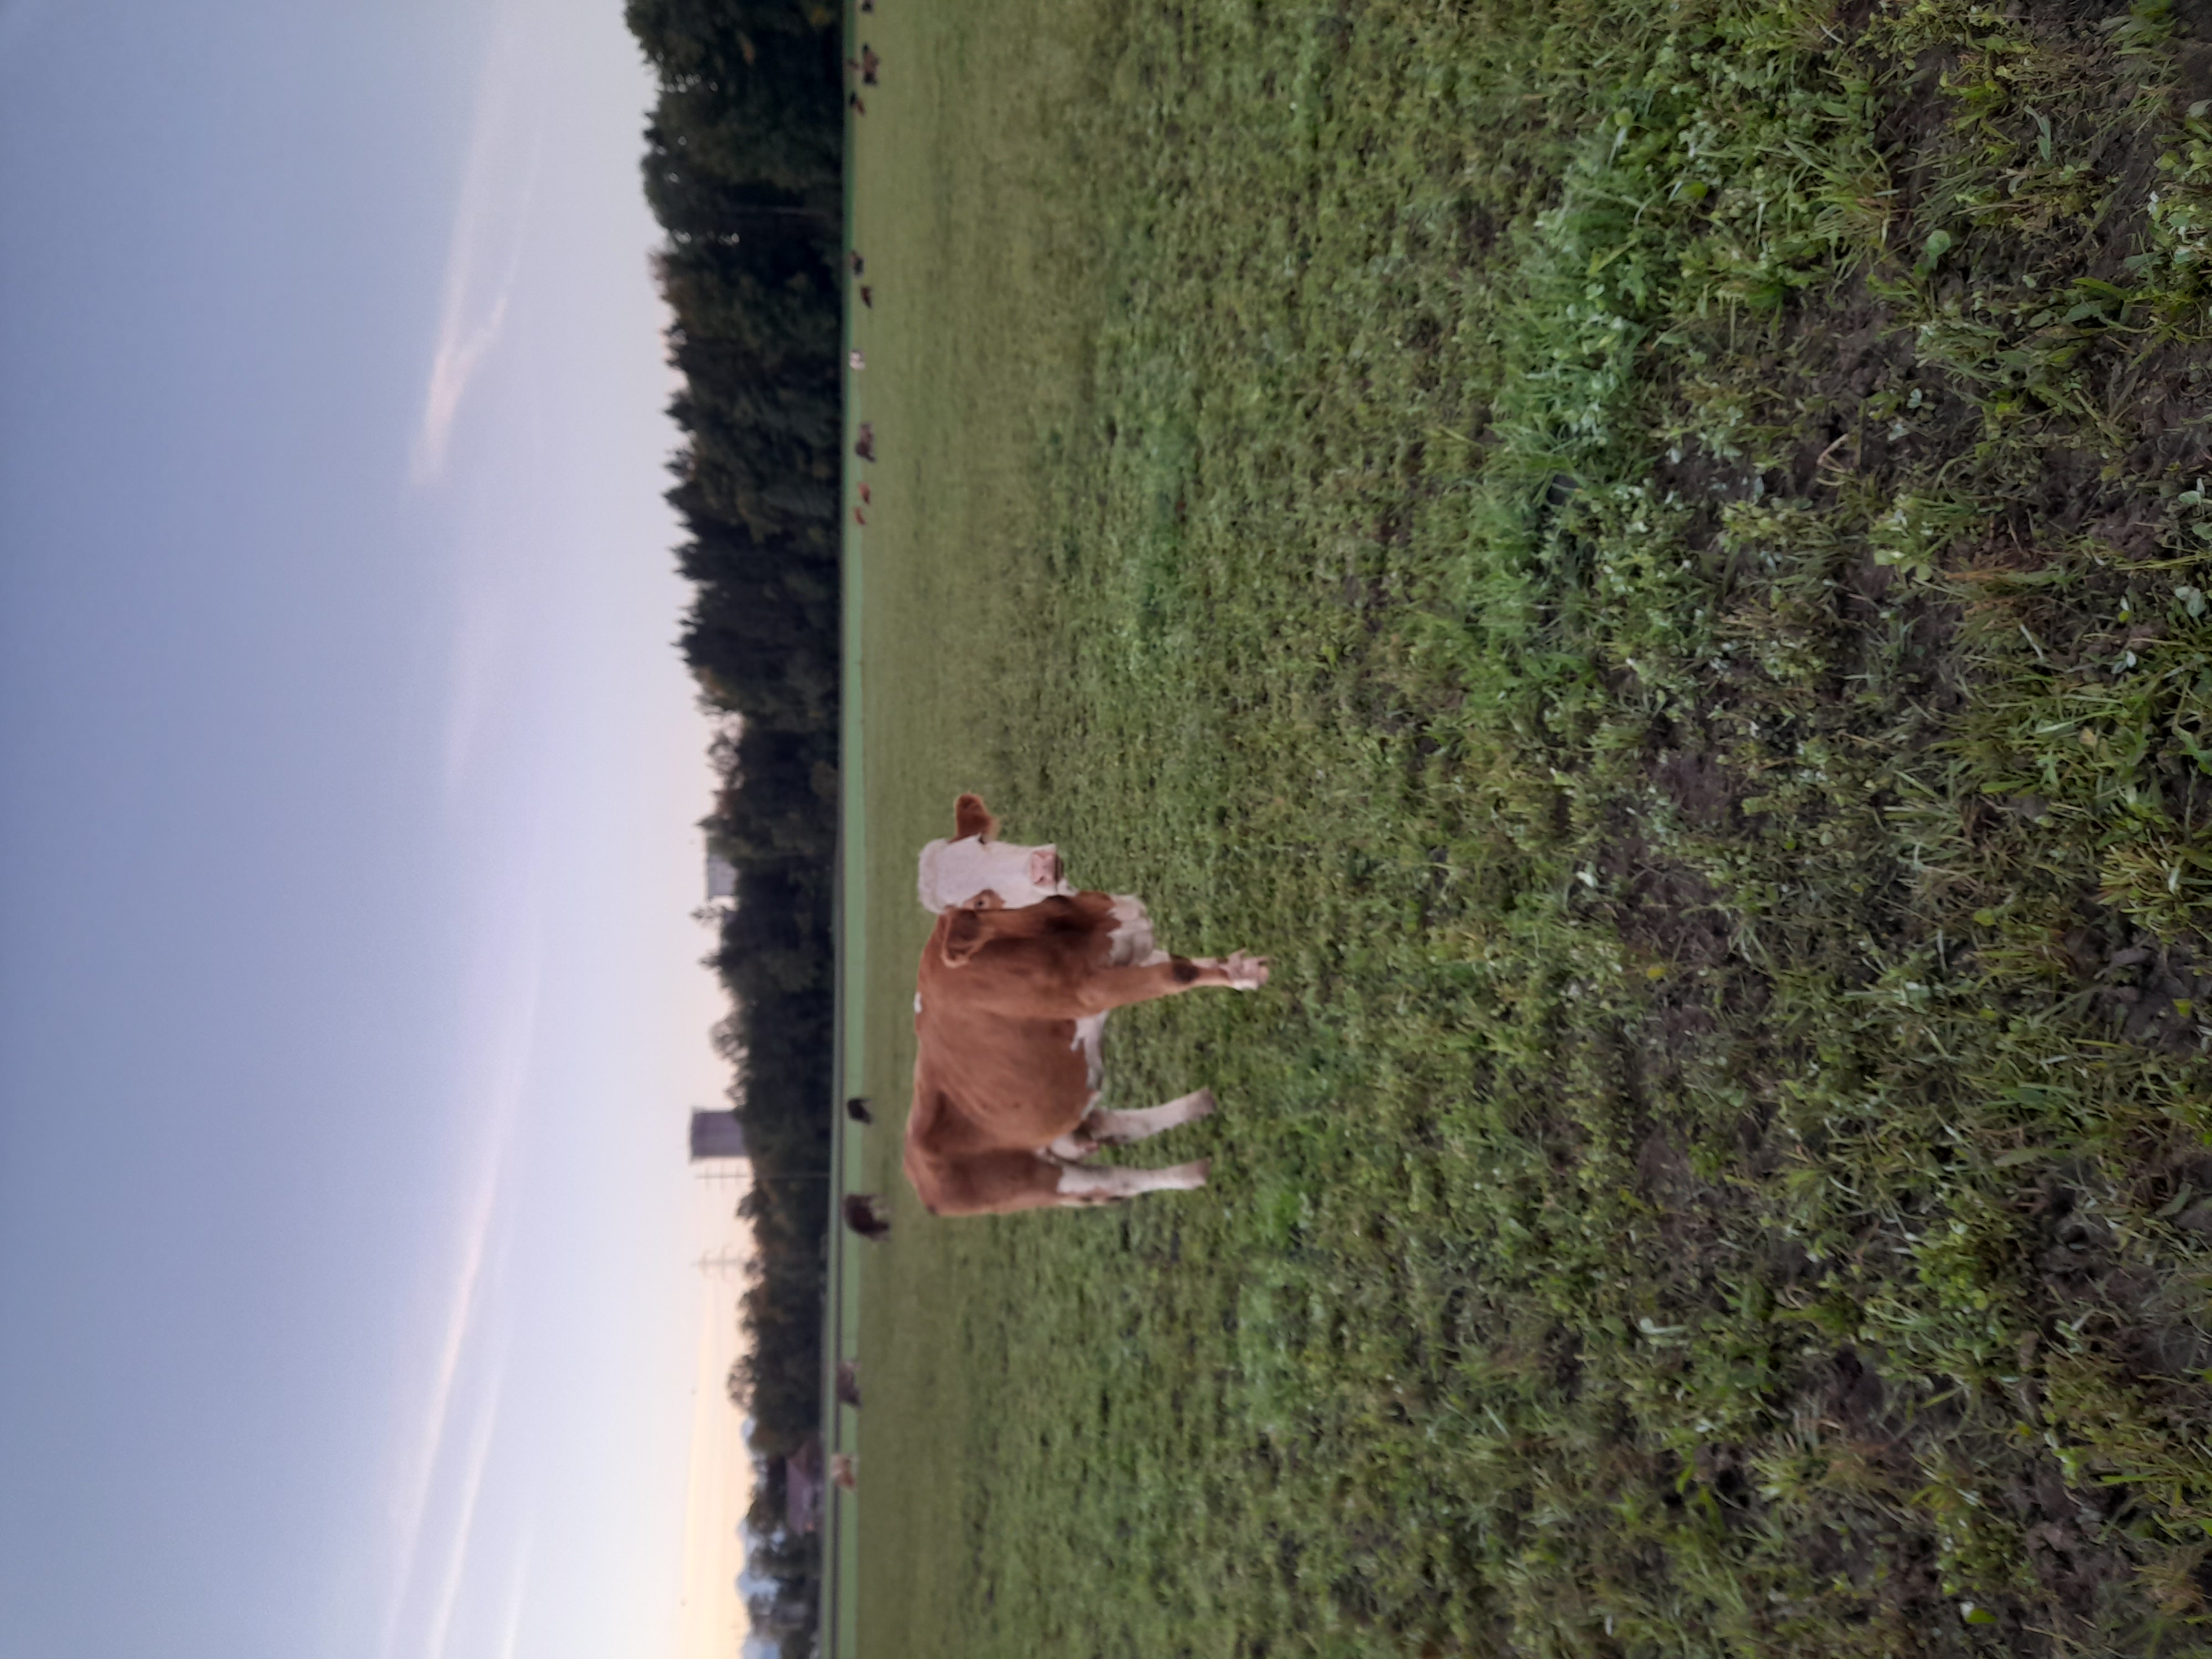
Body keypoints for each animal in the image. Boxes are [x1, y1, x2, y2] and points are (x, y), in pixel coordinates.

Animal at [903, 796, 1268, 1216]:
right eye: (978, 903)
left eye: (981, 841)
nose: (1043, 867)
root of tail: (915, 1171)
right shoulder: (1093, 991)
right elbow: (1178, 973)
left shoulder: (1132, 949)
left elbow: (1187, 963)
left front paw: (1241, 972)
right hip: (1037, 1183)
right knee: (1114, 1184)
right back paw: (1191, 1173)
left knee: (1105, 1127)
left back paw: (1198, 1106)